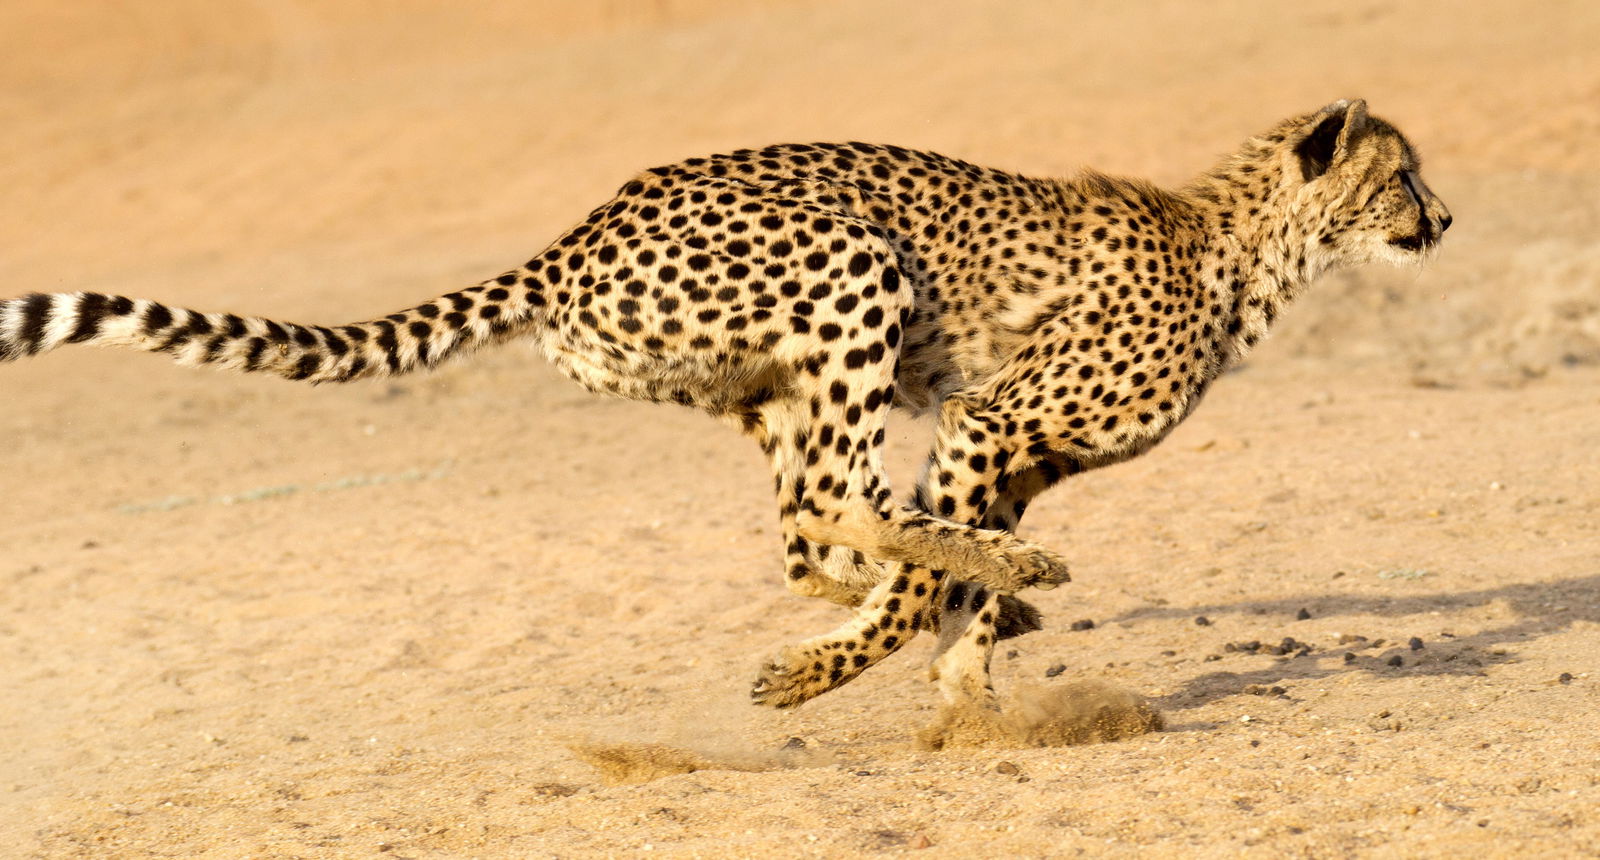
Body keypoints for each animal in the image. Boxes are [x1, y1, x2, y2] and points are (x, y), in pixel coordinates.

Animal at [0, 98, 1452, 709]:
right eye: (1402, 173)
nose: (1443, 218)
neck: (1248, 249)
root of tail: (581, 228)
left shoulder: (1009, 451)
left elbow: (943, 581)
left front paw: (966, 688)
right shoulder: (988, 425)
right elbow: (930, 574)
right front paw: (837, 675)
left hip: (765, 381)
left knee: (809, 525)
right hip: (857, 271)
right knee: (829, 505)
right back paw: (964, 593)